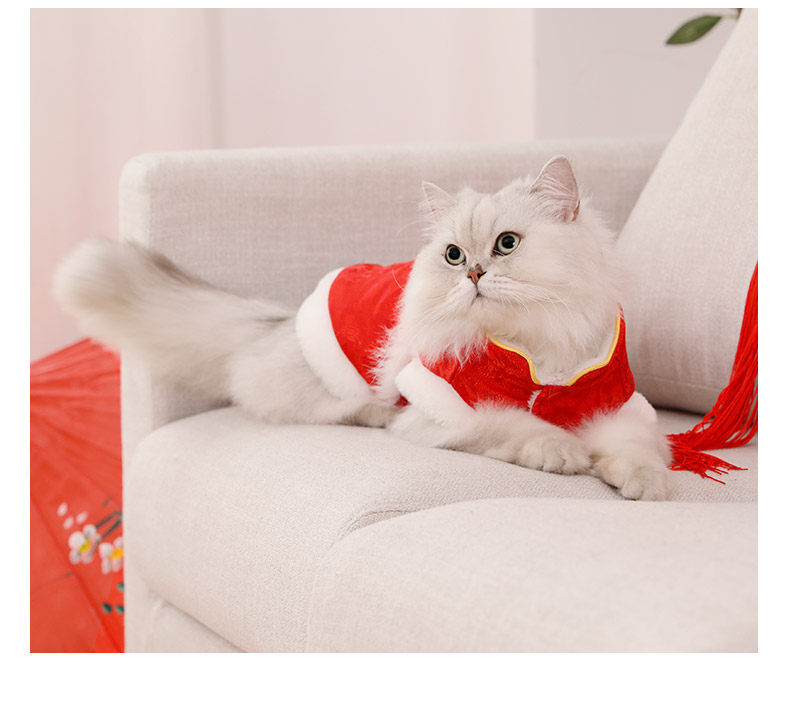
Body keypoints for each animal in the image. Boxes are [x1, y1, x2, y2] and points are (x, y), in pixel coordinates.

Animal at [54, 155, 671, 500]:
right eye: (452, 255)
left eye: (506, 244)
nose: (473, 273)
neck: (534, 351)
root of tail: (276, 322)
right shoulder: (447, 412)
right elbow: (518, 426)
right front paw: (562, 452)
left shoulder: (610, 403)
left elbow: (638, 450)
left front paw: (646, 483)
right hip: (332, 390)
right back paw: (373, 415)